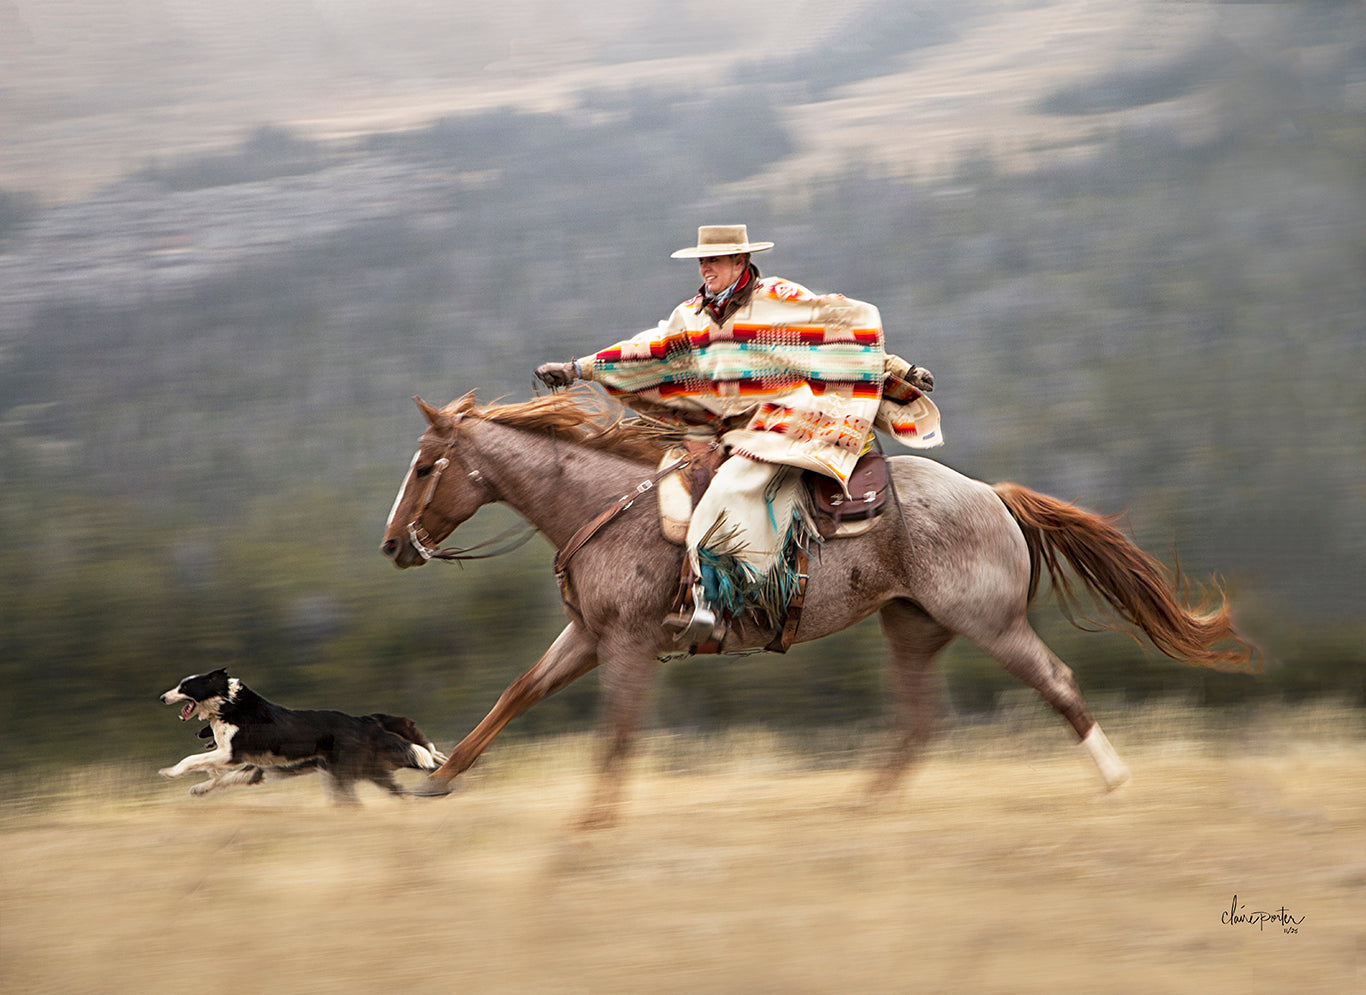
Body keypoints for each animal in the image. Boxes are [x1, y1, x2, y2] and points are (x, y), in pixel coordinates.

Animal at [158, 669, 448, 798]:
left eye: (185, 687)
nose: (161, 698)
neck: (229, 706)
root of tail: (367, 723)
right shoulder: (254, 765)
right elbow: (221, 777)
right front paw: (199, 788)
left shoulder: (233, 752)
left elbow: (193, 761)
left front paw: (170, 772)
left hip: (352, 770)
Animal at [379, 388, 1251, 825]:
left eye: (424, 467)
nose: (392, 544)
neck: (606, 505)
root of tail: (993, 496)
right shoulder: (586, 638)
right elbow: (516, 693)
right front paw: (439, 777)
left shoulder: (624, 646)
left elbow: (616, 735)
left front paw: (591, 824)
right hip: (913, 628)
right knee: (922, 721)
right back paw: (859, 805)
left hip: (991, 624)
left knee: (1058, 683)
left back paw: (1117, 782)